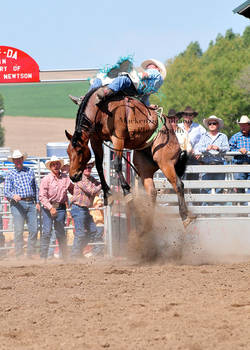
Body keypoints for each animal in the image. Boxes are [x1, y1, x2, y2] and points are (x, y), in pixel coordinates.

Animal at [65, 89, 193, 228]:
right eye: (68, 152)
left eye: (79, 151)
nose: (73, 176)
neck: (101, 109)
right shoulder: (95, 140)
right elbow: (99, 166)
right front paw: (107, 194)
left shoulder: (118, 138)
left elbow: (117, 164)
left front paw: (127, 192)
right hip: (144, 167)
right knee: (152, 192)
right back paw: (148, 225)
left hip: (165, 162)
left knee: (178, 185)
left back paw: (185, 217)